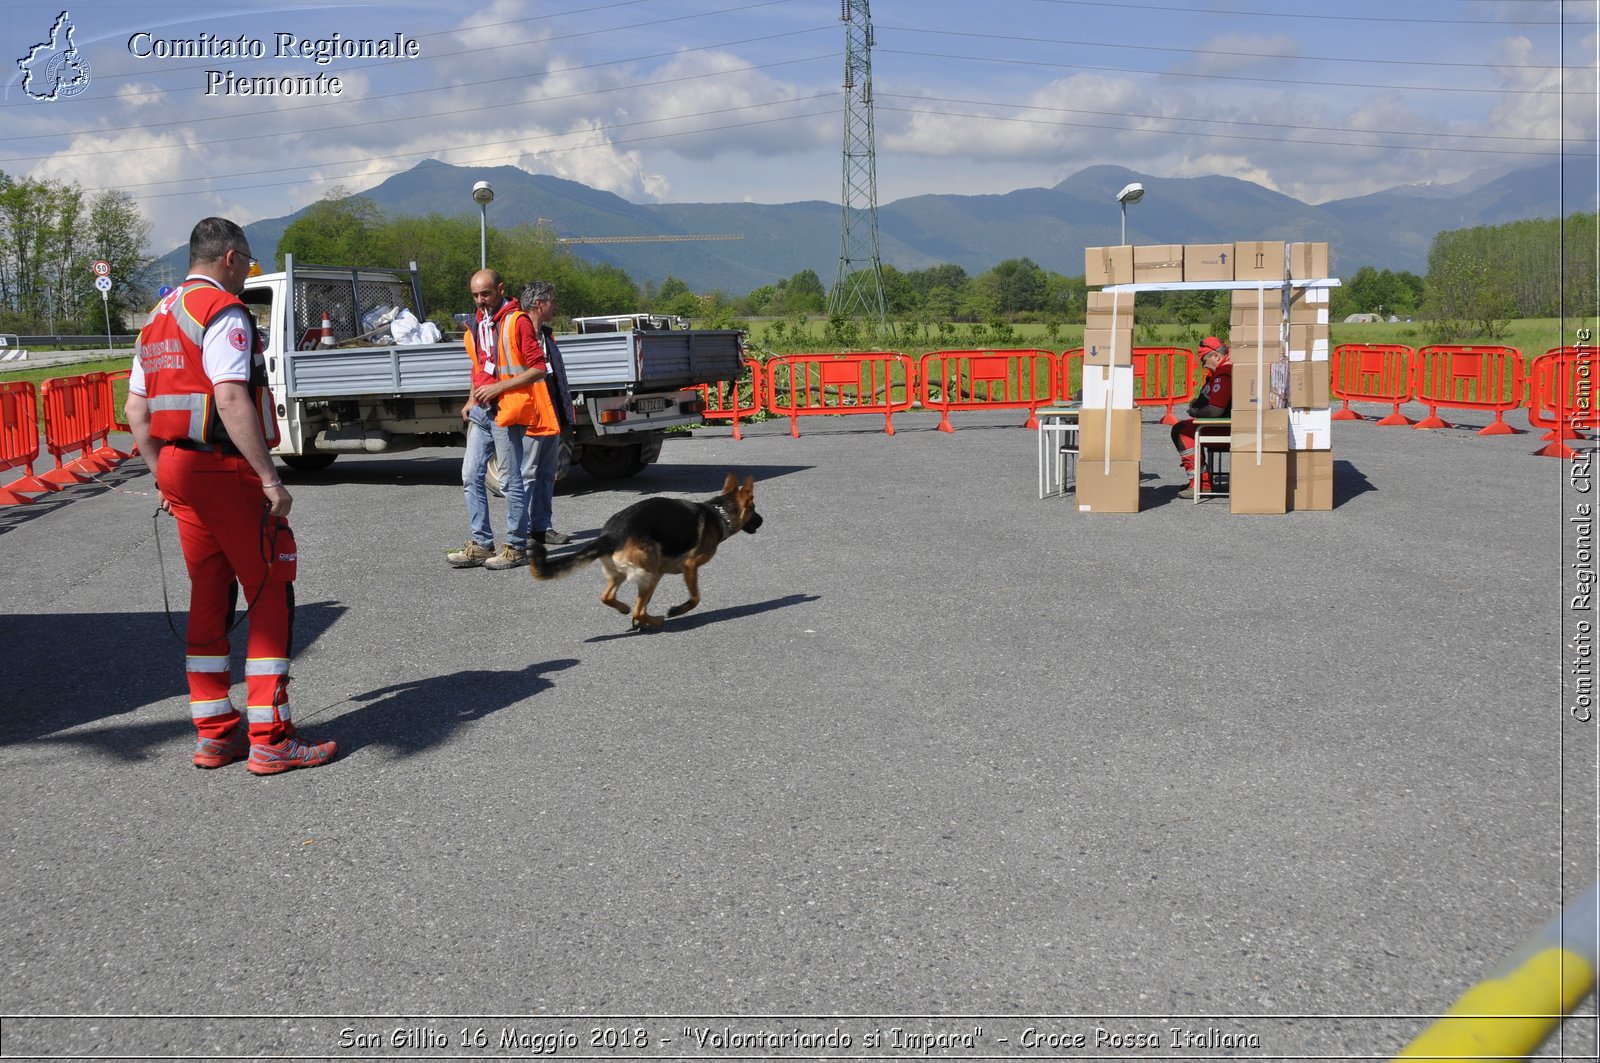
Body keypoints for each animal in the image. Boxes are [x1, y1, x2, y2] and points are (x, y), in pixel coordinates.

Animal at [528, 470, 764, 627]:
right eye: (754, 508)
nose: (762, 521)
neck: (719, 512)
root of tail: (611, 535)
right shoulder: (689, 566)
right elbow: (695, 598)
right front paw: (677, 610)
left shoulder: (660, 572)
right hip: (648, 572)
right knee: (639, 609)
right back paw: (656, 620)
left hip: (630, 573)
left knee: (609, 598)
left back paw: (627, 610)